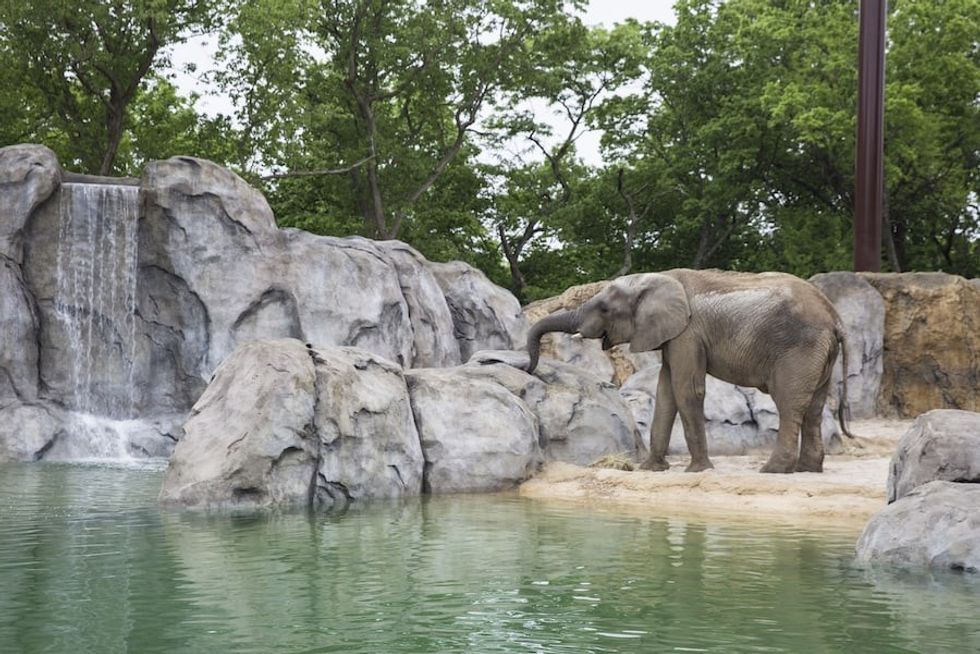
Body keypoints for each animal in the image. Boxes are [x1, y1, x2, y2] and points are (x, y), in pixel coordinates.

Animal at [524, 269, 853, 474]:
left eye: (604, 309)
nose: (530, 367)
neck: (659, 278)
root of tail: (835, 317)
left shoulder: (688, 334)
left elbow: (686, 390)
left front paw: (698, 470)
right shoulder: (674, 335)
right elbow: (665, 393)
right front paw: (650, 470)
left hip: (799, 348)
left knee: (789, 404)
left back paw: (773, 470)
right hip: (819, 353)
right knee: (814, 407)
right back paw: (807, 469)